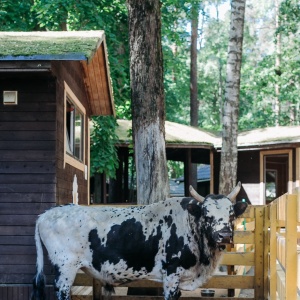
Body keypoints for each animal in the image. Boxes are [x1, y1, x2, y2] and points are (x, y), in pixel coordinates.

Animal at [30, 183, 247, 300]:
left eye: (231, 214)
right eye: (207, 215)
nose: (224, 235)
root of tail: (47, 213)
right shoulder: (171, 274)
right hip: (65, 268)